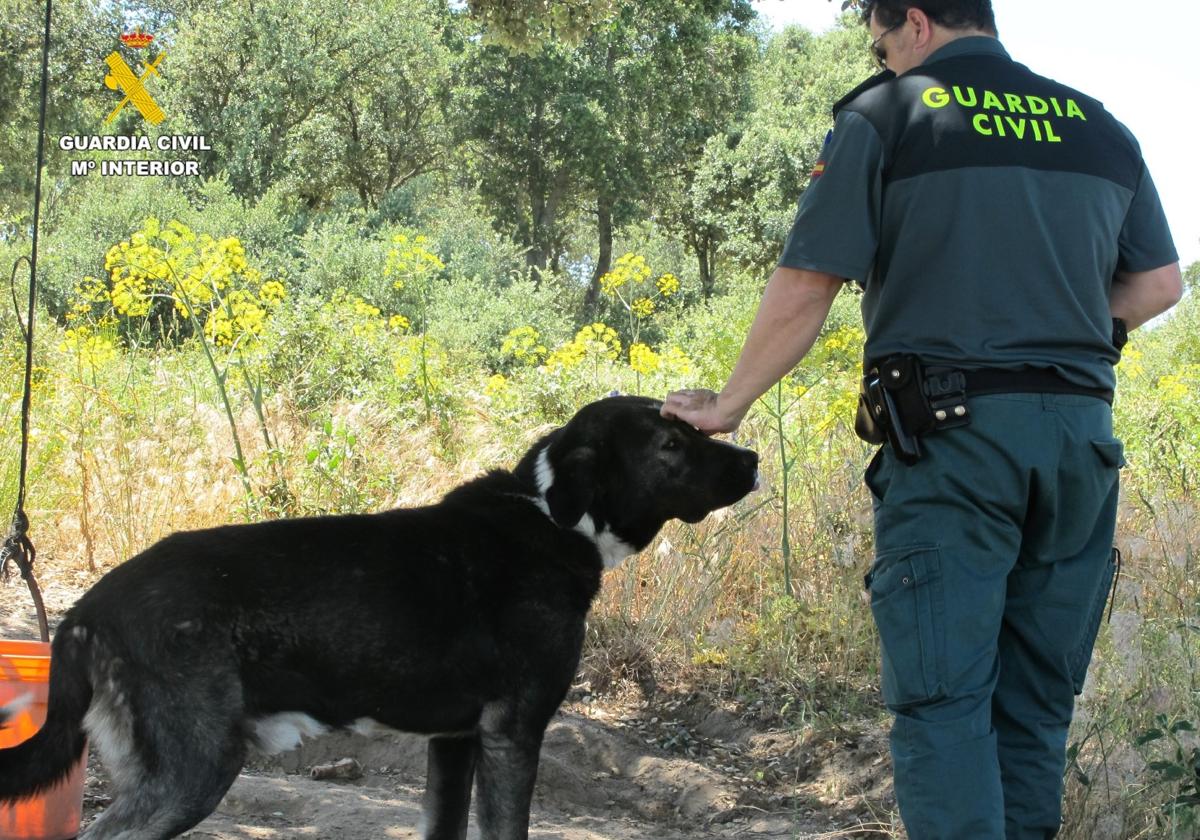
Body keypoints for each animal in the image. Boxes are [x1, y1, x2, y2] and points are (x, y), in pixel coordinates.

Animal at [0, 396, 753, 835]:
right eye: (670, 446)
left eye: (691, 429)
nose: (751, 458)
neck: (549, 515)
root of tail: (89, 608)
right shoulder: (512, 735)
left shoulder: (454, 743)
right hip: (192, 769)